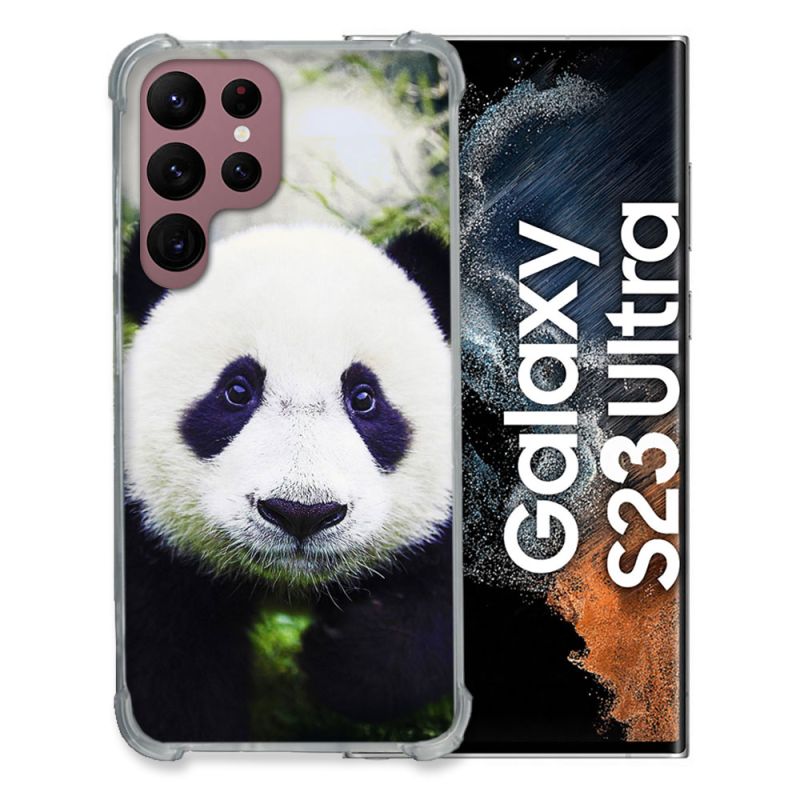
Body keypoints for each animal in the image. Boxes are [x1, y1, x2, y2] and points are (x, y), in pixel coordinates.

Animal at [122, 224, 453, 743]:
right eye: (237, 390)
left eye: (364, 397)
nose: (301, 513)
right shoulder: (153, 544)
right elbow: (172, 665)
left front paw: (338, 658)